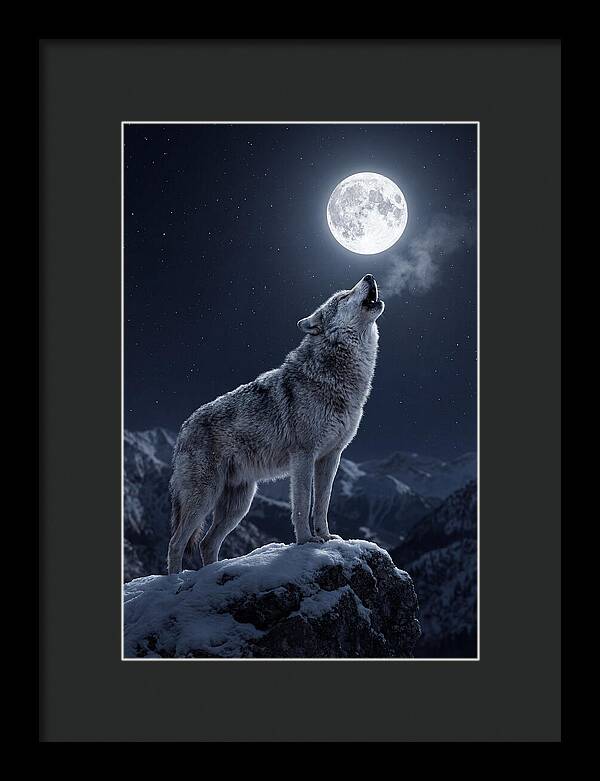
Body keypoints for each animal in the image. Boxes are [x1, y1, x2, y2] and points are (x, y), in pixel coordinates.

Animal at [167, 274, 384, 574]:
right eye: (343, 296)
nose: (369, 276)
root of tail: (183, 428)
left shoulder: (331, 457)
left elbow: (322, 504)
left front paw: (327, 537)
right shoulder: (303, 456)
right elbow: (303, 504)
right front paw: (306, 541)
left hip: (240, 504)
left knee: (206, 543)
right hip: (203, 498)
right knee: (176, 543)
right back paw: (174, 580)